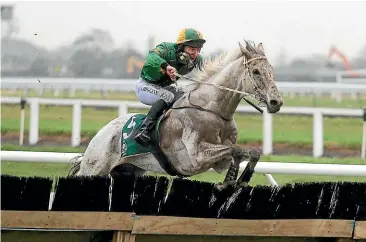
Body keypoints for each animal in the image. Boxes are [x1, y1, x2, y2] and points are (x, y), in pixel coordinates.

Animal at [70, 40, 284, 189]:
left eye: (271, 70)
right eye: (256, 71)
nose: (276, 102)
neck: (212, 110)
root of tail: (101, 133)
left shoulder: (218, 162)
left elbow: (248, 151)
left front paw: (239, 180)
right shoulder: (196, 157)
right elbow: (236, 150)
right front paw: (230, 182)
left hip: (128, 171)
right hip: (94, 167)